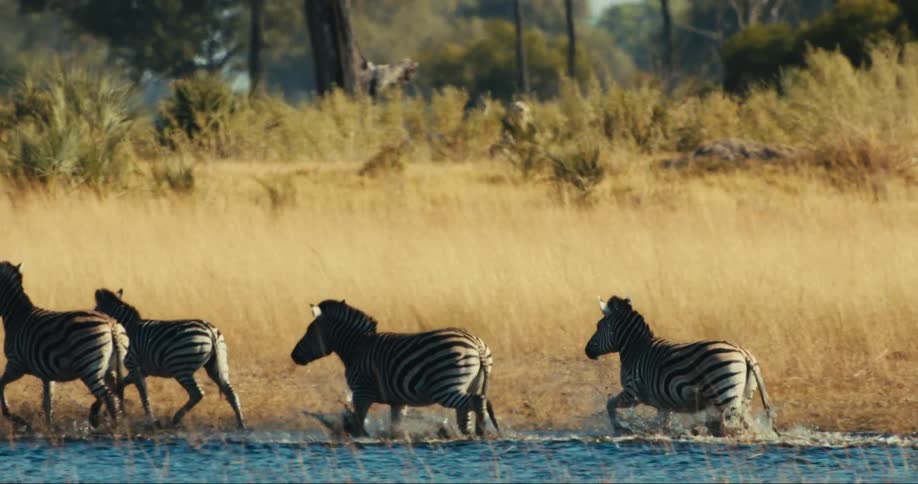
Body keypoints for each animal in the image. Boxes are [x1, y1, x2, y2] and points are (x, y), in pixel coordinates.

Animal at [0, 261, 128, 429]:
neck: (16, 316)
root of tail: (110, 323)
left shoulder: (16, 364)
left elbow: (0, 384)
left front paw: (12, 416)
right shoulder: (46, 374)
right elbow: (48, 403)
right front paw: (49, 428)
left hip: (89, 368)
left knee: (109, 397)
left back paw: (114, 428)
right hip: (110, 367)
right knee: (115, 395)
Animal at [93, 288, 245, 429]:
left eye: (95, 311)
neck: (128, 328)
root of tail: (210, 330)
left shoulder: (133, 364)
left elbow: (142, 392)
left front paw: (150, 419)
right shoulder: (142, 370)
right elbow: (121, 385)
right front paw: (107, 410)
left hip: (180, 366)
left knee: (197, 393)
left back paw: (176, 418)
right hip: (216, 364)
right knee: (231, 393)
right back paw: (240, 423)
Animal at [291, 299, 499, 438]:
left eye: (309, 331)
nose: (293, 356)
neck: (357, 347)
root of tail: (477, 345)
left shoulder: (362, 390)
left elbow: (359, 422)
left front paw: (360, 438)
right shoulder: (398, 401)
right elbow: (395, 425)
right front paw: (394, 439)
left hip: (445, 385)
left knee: (476, 401)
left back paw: (481, 431)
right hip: (469, 383)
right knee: (468, 410)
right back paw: (471, 434)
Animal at [585, 295, 777, 437]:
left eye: (598, 326)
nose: (587, 351)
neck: (635, 349)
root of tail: (742, 352)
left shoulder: (633, 392)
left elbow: (610, 404)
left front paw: (621, 428)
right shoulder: (663, 404)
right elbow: (661, 424)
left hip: (725, 394)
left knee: (733, 427)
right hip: (743, 397)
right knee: (743, 425)